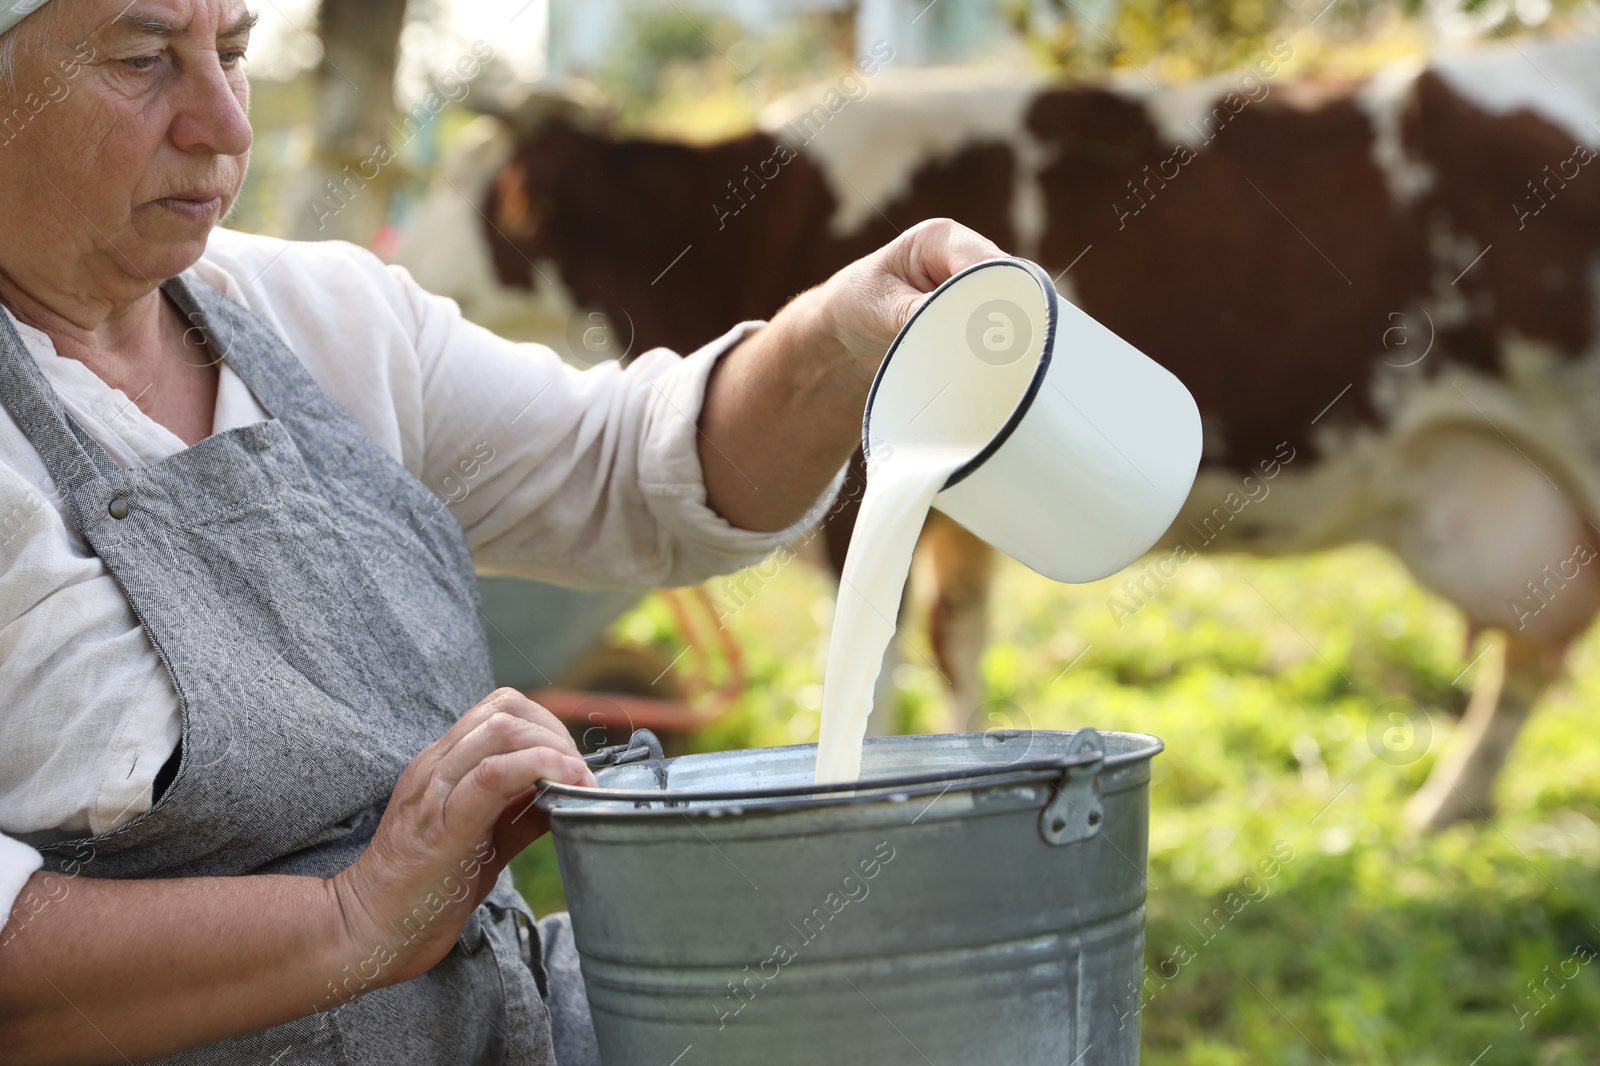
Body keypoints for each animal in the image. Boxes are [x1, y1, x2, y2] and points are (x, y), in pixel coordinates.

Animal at [390, 39, 1600, 819]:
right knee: (1533, 653)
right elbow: (951, 641)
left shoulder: (856, 501)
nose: (405, 261)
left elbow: (879, 655)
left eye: (460, 188)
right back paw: (1453, 803)